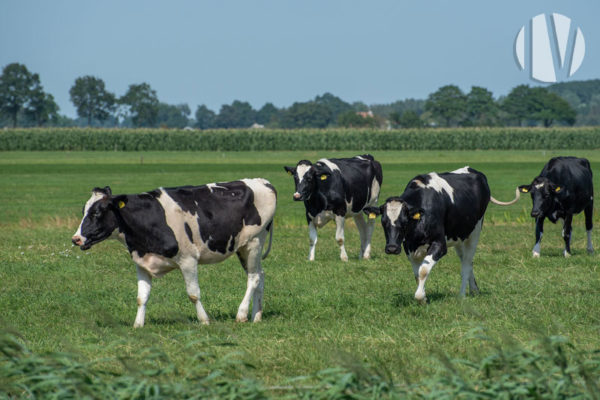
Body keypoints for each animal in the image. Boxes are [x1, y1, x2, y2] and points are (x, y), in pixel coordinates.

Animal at [72, 180, 276, 326]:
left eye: (97, 213)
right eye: (83, 211)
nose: (76, 239)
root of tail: (263, 182)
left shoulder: (188, 260)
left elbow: (193, 294)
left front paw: (204, 320)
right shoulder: (141, 262)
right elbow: (141, 297)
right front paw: (138, 324)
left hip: (254, 242)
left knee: (253, 278)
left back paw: (241, 314)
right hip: (243, 248)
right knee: (260, 275)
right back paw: (256, 316)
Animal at [366, 166, 520, 304]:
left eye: (404, 222)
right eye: (383, 222)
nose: (392, 248)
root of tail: (474, 171)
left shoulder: (439, 244)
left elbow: (423, 271)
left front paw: (420, 297)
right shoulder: (409, 248)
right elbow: (417, 275)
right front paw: (423, 298)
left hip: (474, 232)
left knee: (466, 263)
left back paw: (462, 295)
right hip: (459, 236)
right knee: (467, 261)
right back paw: (474, 290)